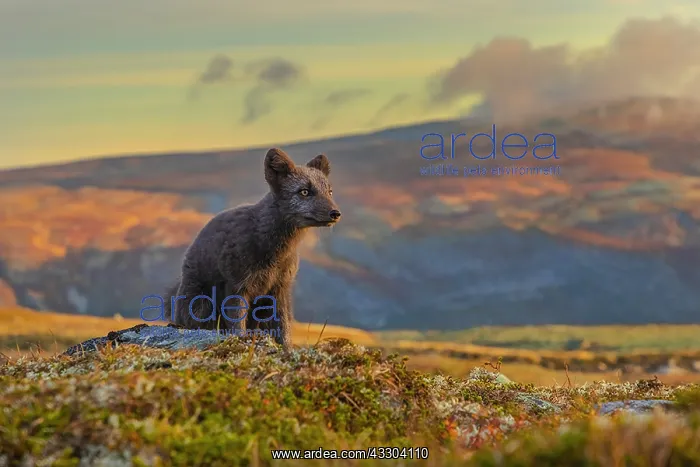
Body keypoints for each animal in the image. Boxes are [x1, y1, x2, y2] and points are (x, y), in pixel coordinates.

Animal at [165, 148, 341, 350]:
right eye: (304, 191)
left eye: (329, 191)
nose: (336, 213)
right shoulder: (237, 287)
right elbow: (237, 326)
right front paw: (240, 344)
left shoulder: (279, 289)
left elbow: (284, 329)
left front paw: (287, 351)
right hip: (201, 304)